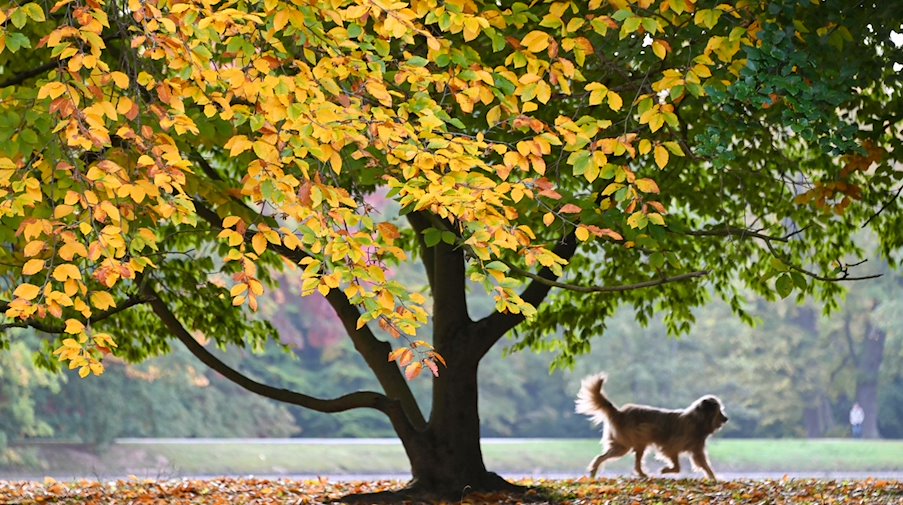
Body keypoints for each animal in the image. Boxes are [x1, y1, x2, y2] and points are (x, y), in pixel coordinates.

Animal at [580, 372, 728, 478]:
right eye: (719, 411)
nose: (726, 418)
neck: (697, 421)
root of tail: (619, 413)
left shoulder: (696, 451)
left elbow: (705, 466)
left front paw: (713, 479)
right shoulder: (670, 447)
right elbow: (677, 466)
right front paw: (665, 470)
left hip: (625, 445)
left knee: (608, 458)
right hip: (632, 441)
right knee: (612, 458)